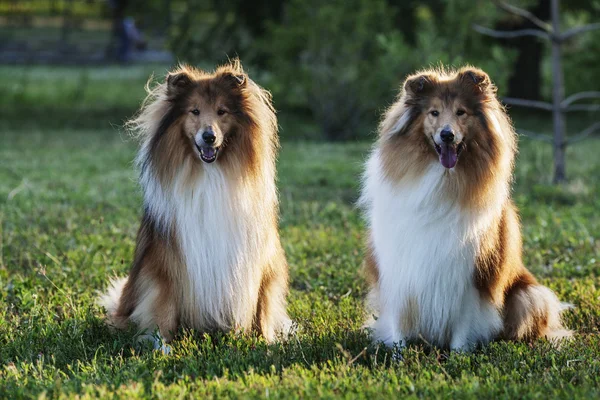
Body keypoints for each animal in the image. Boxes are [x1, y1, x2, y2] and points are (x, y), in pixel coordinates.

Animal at [100, 59, 290, 346]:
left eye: (222, 111)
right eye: (195, 111)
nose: (208, 137)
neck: (209, 173)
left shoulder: (259, 257)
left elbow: (261, 301)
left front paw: (263, 340)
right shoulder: (165, 261)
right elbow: (164, 304)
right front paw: (162, 344)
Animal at [360, 65, 572, 350]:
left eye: (461, 112)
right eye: (434, 112)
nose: (446, 135)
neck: (443, 180)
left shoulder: (472, 274)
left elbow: (464, 321)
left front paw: (459, 354)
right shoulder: (398, 267)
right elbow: (398, 323)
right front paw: (397, 353)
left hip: (529, 294)